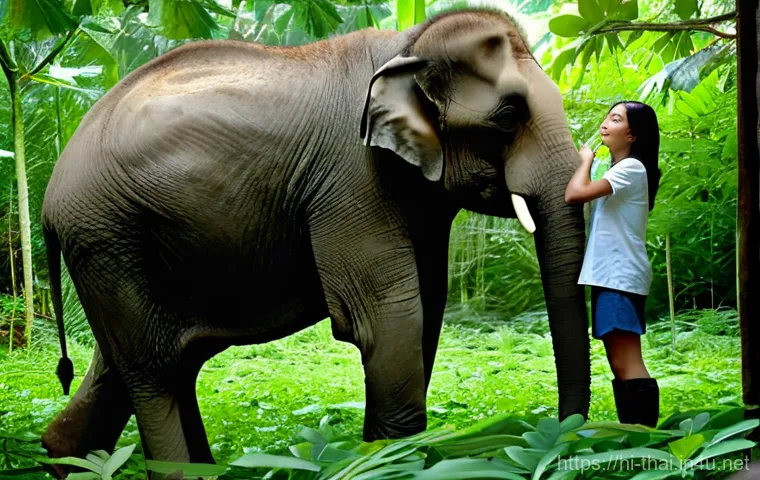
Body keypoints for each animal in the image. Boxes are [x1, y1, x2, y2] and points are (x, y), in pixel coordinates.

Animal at [40, 7, 590, 473]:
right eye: (508, 116)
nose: (559, 439)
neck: (407, 43)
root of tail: (49, 196)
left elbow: (428, 311)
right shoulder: (351, 179)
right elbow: (389, 319)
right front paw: (388, 463)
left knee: (143, 363)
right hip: (106, 236)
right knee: (154, 369)